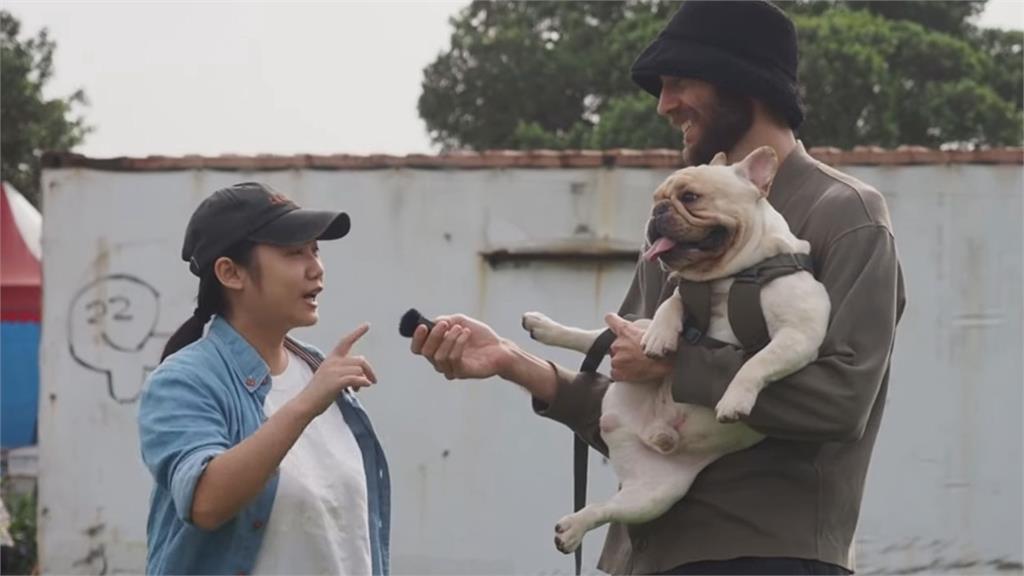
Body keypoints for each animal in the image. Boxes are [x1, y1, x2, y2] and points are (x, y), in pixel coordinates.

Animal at [520, 145, 831, 553]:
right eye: (657, 198)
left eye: (691, 197)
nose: (657, 211)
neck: (732, 276)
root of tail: (649, 432)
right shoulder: (685, 294)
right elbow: (673, 302)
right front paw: (661, 338)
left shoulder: (798, 334)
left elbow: (755, 363)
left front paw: (734, 401)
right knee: (597, 336)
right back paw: (545, 327)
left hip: (656, 493)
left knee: (611, 507)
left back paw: (572, 528)